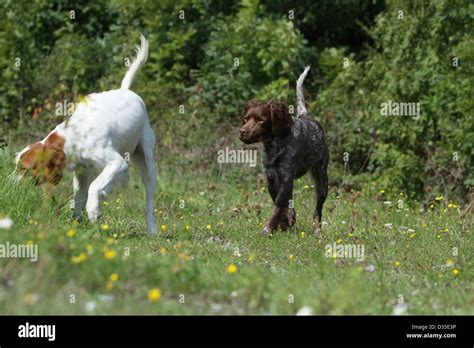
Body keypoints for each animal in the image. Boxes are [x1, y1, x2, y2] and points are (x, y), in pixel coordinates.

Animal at [15, 35, 156, 234]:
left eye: (24, 169)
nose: (11, 186)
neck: (73, 137)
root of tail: (126, 90)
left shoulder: (117, 163)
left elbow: (94, 187)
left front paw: (93, 211)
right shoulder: (82, 173)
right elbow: (80, 197)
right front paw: (77, 222)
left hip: (147, 163)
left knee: (149, 202)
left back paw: (152, 230)